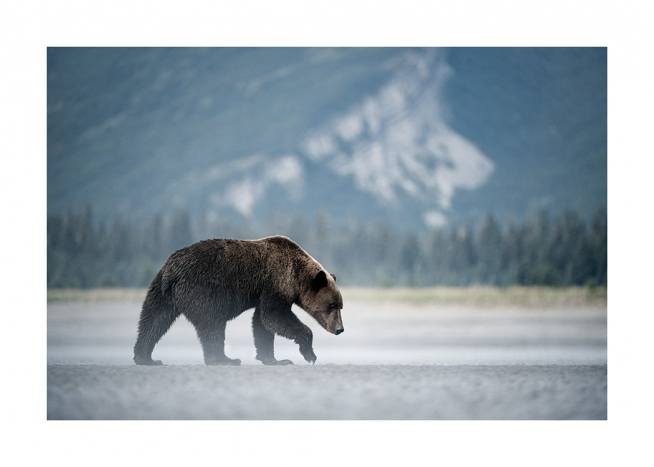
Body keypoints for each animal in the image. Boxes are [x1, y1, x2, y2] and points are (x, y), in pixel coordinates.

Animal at [133, 235, 344, 366]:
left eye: (340, 306)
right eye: (332, 305)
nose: (340, 329)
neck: (295, 275)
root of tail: (173, 270)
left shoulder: (264, 293)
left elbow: (262, 323)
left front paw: (273, 359)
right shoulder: (275, 285)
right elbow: (274, 316)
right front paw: (309, 354)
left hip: (161, 290)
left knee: (153, 320)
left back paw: (146, 357)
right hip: (201, 290)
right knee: (212, 324)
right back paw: (223, 359)